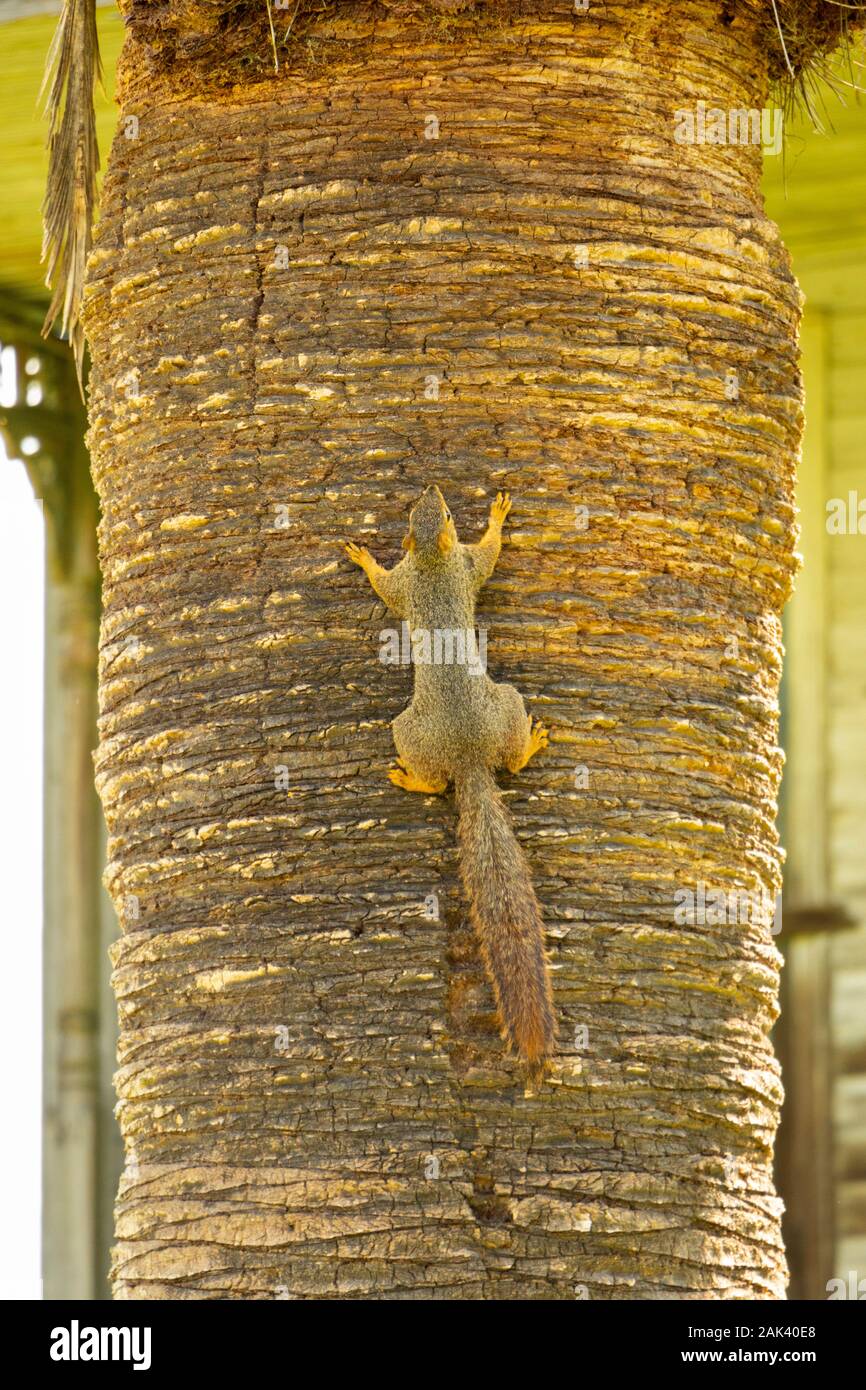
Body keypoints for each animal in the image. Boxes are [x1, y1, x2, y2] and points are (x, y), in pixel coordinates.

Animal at [346, 483, 556, 1067]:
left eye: (437, 512)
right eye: (421, 512)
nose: (433, 487)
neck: (431, 560)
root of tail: (468, 758)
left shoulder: (455, 569)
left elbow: (483, 556)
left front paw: (495, 517)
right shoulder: (437, 573)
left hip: (438, 723)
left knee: (460, 776)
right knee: (466, 774)